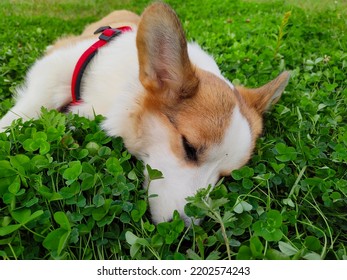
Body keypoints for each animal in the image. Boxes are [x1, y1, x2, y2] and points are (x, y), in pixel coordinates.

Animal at [0, 2, 290, 225]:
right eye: (189, 147)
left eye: (226, 176)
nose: (185, 231)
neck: (125, 87)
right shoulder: (55, 69)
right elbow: (22, 112)